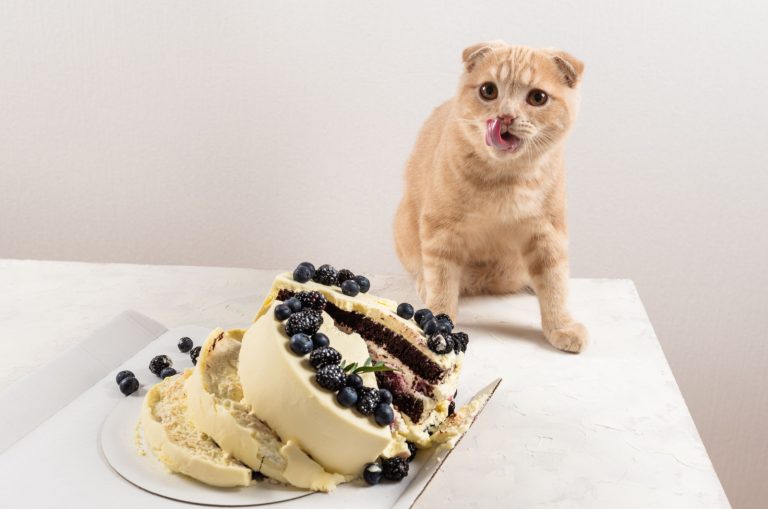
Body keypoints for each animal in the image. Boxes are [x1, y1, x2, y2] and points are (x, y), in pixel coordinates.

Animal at [396, 41, 588, 352]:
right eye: (489, 90)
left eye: (537, 97)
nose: (505, 116)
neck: (506, 178)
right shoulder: (441, 229)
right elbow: (442, 278)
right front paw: (438, 323)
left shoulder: (547, 233)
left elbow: (555, 282)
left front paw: (561, 326)